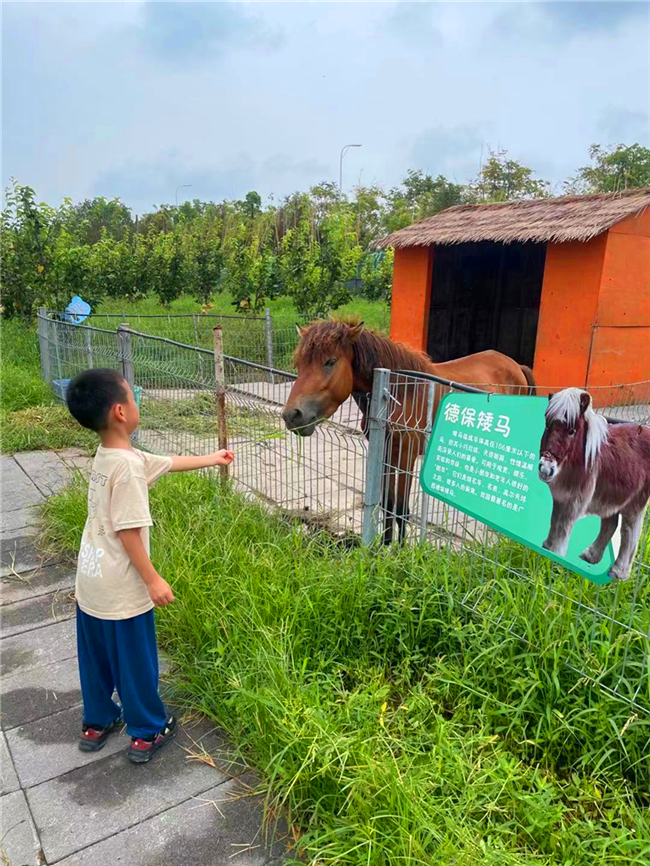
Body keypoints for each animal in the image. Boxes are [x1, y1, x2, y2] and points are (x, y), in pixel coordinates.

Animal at [280, 318, 536, 540]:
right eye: (299, 364)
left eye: (330, 361)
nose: (292, 415)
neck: (399, 393)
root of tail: (515, 366)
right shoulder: (385, 453)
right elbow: (387, 504)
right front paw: (384, 545)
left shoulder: (406, 456)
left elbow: (401, 510)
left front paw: (399, 551)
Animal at [536, 386, 648, 580]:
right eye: (547, 424)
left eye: (571, 431)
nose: (545, 468)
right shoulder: (560, 498)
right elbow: (554, 521)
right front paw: (547, 547)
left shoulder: (574, 502)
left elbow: (563, 528)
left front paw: (555, 557)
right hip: (613, 496)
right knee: (610, 524)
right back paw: (590, 556)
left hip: (635, 502)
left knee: (630, 530)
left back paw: (618, 573)